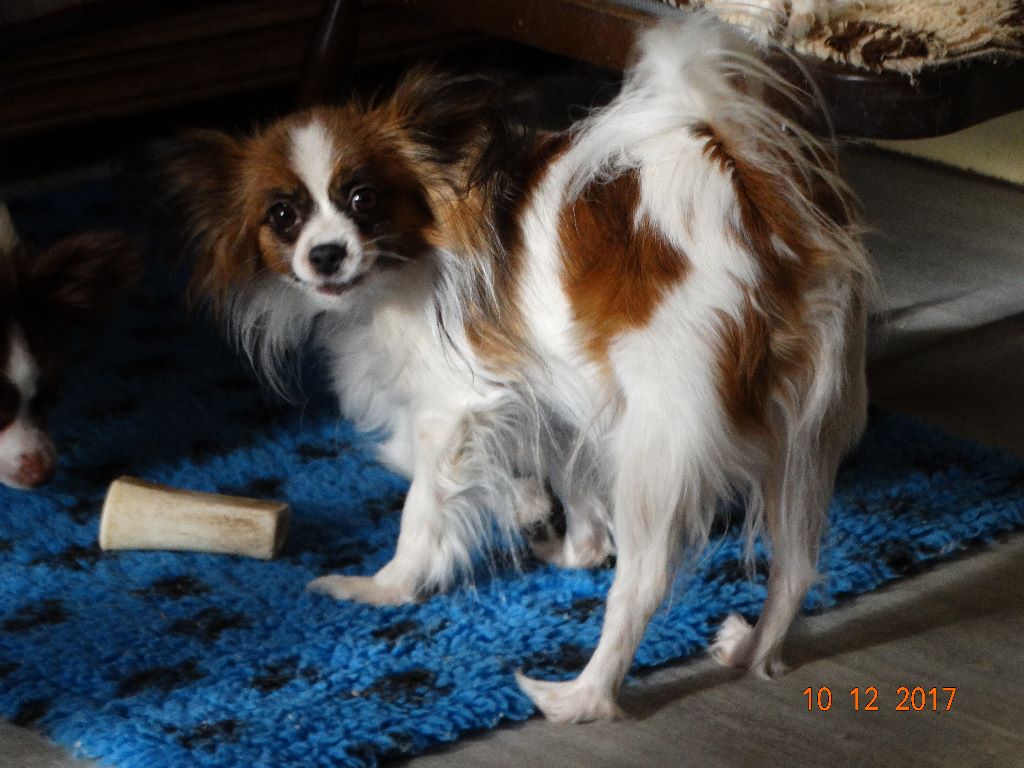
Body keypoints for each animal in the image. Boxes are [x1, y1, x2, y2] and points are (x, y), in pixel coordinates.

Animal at [162, 15, 873, 722]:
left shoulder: (458, 407)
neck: (414, 256)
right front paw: (565, 539)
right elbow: (563, 482)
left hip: (661, 443)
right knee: (795, 567)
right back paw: (751, 648)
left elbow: (423, 503)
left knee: (644, 582)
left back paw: (581, 696)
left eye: (364, 199)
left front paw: (387, 587)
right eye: (282, 216)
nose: (327, 254)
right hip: (803, 438)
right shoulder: (553, 394)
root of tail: (747, 195)